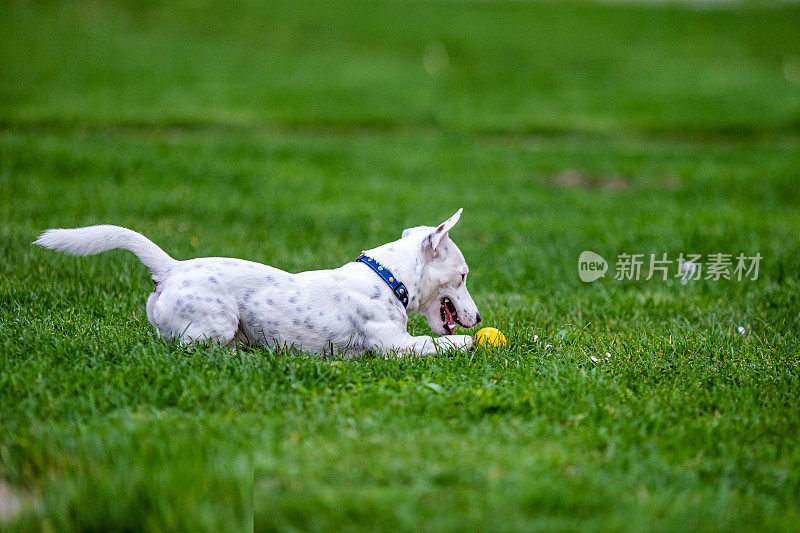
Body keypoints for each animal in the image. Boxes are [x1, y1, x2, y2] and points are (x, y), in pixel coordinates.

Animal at [34, 208, 478, 354]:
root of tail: (172, 268)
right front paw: (470, 342)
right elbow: (438, 343)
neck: (387, 279)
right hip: (217, 322)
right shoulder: (396, 347)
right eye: (463, 275)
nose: (478, 318)